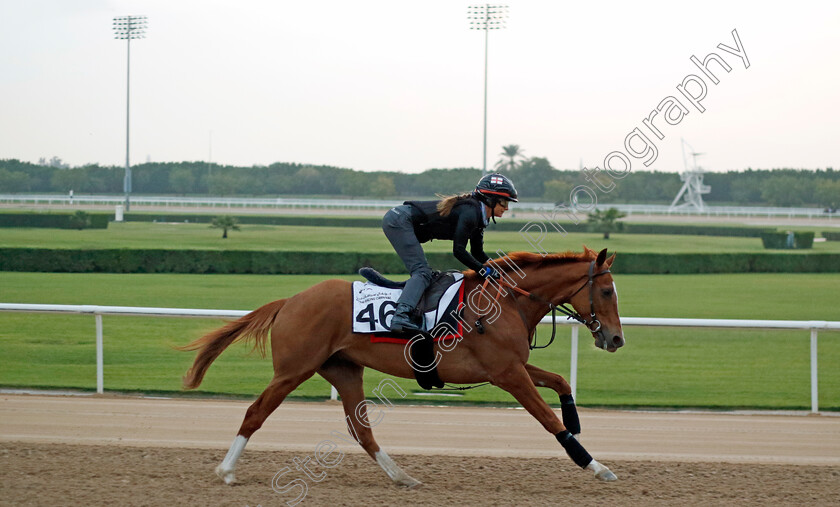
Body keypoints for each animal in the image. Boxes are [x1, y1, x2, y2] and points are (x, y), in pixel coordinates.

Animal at [182, 246, 624, 488]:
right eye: (606, 291)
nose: (616, 339)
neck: (507, 301)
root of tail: (290, 300)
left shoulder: (510, 366)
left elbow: (561, 381)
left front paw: (577, 421)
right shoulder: (507, 373)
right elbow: (549, 421)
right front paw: (596, 465)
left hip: (343, 370)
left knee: (361, 430)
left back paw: (402, 476)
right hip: (294, 369)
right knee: (256, 412)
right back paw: (226, 470)